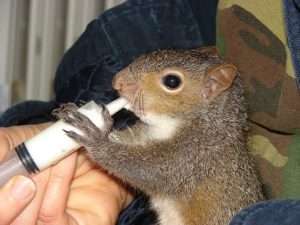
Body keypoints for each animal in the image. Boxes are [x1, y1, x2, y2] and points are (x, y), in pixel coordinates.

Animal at [55, 47, 264, 225]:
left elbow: (149, 170)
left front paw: (96, 140)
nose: (117, 81)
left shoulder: (194, 157)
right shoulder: (145, 135)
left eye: (172, 81)